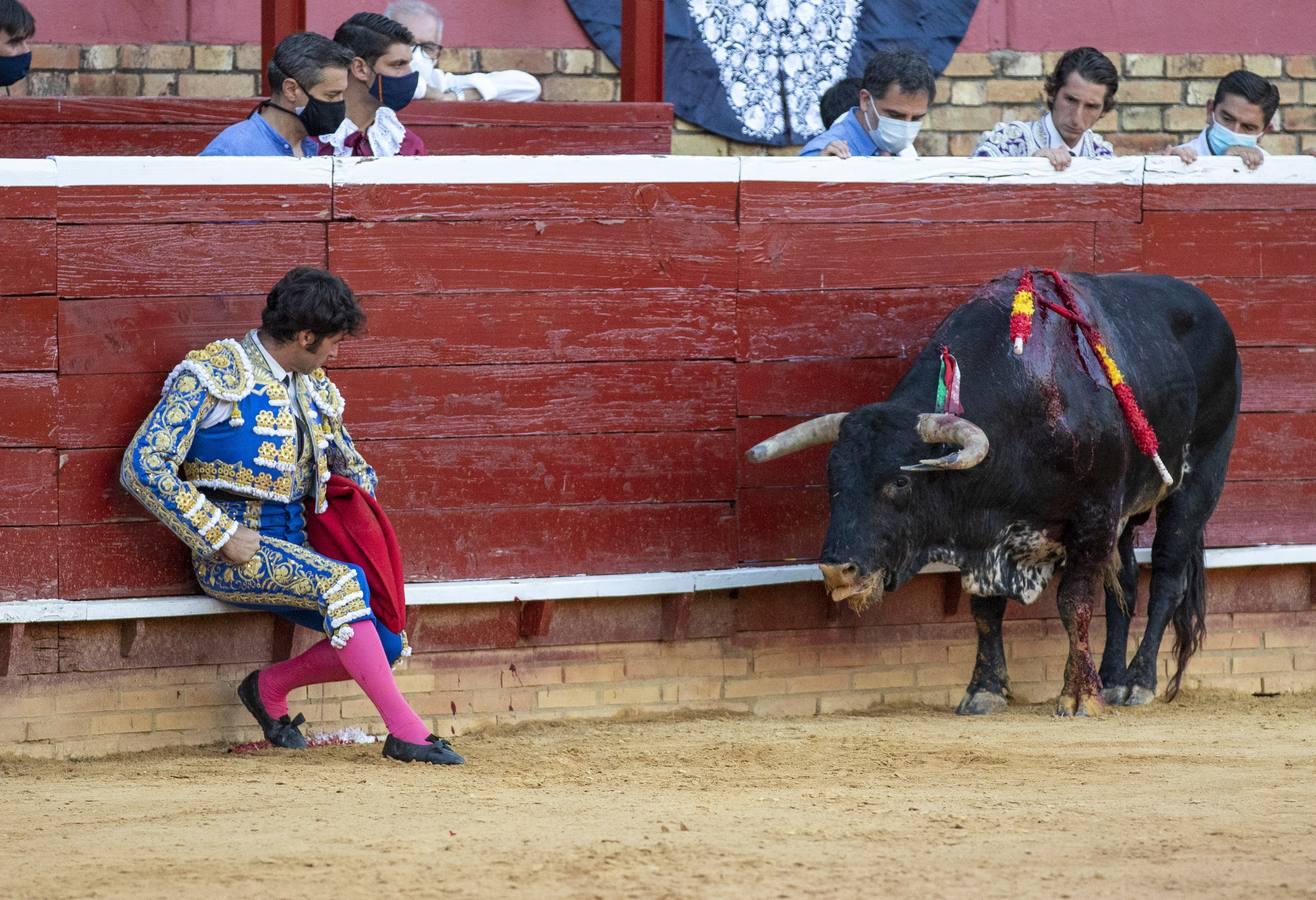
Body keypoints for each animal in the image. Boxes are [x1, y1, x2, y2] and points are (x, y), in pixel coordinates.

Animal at [752, 268, 1242, 715]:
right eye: (834, 477)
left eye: (900, 481)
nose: (838, 571)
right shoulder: (985, 538)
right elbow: (986, 611)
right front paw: (984, 690)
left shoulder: (1094, 514)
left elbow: (1074, 602)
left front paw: (1078, 697)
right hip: (1127, 516)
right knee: (1123, 583)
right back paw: (1112, 679)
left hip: (1198, 484)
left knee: (1166, 578)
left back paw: (1138, 682)